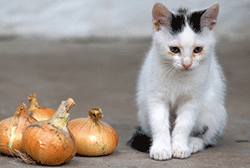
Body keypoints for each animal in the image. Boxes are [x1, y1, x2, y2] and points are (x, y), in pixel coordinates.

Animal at [128, 2, 228, 160]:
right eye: (174, 49)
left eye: (198, 49)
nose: (187, 64)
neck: (179, 76)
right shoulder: (156, 96)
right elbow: (159, 124)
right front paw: (161, 149)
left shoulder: (192, 99)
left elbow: (184, 124)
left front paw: (180, 147)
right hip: (143, 110)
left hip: (213, 111)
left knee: (208, 136)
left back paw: (193, 143)